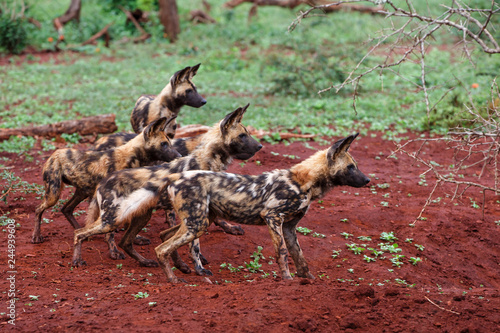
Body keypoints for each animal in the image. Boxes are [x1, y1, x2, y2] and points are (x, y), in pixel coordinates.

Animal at [31, 116, 180, 244]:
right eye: (164, 144)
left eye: (169, 143)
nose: (179, 155)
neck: (132, 158)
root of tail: (54, 153)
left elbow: (128, 224)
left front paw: (136, 239)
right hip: (53, 195)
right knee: (38, 209)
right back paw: (37, 236)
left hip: (82, 192)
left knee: (66, 209)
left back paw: (80, 232)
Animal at [72, 105, 264, 268]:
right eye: (242, 135)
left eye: (247, 134)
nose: (260, 146)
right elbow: (193, 244)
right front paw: (196, 263)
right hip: (113, 218)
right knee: (90, 232)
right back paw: (88, 257)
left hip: (141, 215)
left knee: (124, 241)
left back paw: (144, 261)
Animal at [156, 134, 372, 282]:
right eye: (350, 167)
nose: (368, 180)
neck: (303, 182)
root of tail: (175, 177)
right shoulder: (272, 217)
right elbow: (282, 252)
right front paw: (288, 280)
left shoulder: (289, 227)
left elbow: (299, 255)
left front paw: (308, 280)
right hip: (197, 226)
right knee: (160, 249)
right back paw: (173, 279)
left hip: (199, 221)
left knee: (165, 235)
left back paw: (180, 267)